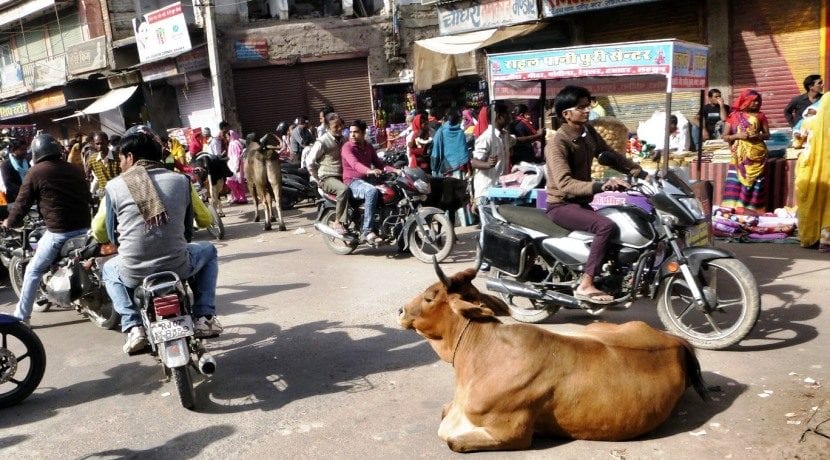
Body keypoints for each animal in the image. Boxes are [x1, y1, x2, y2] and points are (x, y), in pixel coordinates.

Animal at [400, 264, 712, 452]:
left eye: (430, 297)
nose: (400, 311)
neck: (480, 355)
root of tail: (674, 340)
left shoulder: (512, 433)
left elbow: (453, 441)